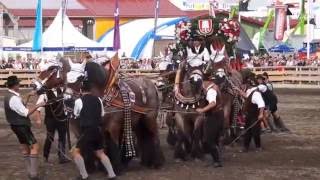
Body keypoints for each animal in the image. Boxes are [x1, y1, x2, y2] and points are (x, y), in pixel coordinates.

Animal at [32, 56, 165, 173]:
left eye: (51, 69)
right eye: (67, 78)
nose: (34, 85)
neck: (104, 93)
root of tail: (151, 83)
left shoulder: (112, 126)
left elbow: (113, 144)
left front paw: (115, 168)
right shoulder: (86, 127)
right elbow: (96, 146)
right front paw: (95, 166)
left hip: (149, 119)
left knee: (154, 135)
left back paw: (157, 162)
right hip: (138, 121)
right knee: (144, 137)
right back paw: (145, 161)